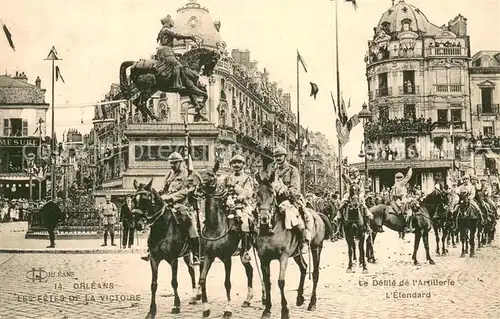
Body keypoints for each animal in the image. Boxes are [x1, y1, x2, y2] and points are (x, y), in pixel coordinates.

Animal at [134, 179, 202, 318]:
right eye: (134, 199)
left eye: (145, 199)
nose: (138, 224)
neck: (162, 228)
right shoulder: (154, 259)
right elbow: (153, 284)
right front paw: (151, 311)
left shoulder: (173, 260)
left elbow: (174, 282)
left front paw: (176, 305)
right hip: (186, 254)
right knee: (191, 270)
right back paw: (194, 296)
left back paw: (199, 293)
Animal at [196, 164, 256, 318]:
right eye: (200, 172)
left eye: (210, 175)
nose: (195, 186)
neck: (215, 226)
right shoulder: (208, 256)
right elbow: (202, 279)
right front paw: (206, 308)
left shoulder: (226, 258)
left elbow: (227, 283)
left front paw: (228, 309)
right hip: (241, 255)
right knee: (250, 270)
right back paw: (247, 300)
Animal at [254, 170, 332, 319]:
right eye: (257, 193)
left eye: (272, 193)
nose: (264, 219)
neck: (271, 231)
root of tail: (317, 214)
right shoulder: (263, 259)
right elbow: (267, 282)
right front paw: (267, 310)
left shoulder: (283, 257)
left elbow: (281, 282)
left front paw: (285, 311)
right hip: (297, 253)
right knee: (304, 268)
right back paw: (300, 298)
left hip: (316, 248)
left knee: (315, 273)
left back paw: (312, 303)